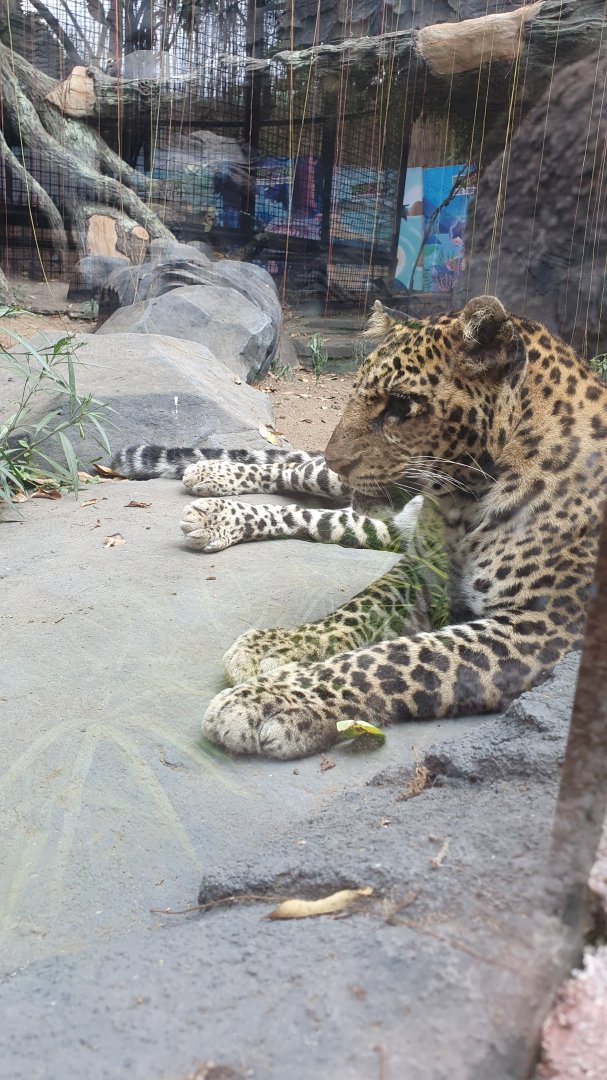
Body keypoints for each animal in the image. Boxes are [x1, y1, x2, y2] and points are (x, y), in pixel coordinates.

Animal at [113, 294, 607, 760]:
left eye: (401, 404)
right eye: (357, 392)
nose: (339, 460)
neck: (465, 502)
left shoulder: (540, 625)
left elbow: (395, 658)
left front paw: (272, 699)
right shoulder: (420, 572)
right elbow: (358, 607)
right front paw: (277, 648)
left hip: (375, 525)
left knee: (313, 512)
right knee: (295, 468)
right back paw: (210, 484)